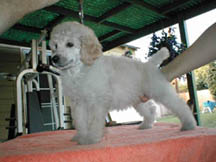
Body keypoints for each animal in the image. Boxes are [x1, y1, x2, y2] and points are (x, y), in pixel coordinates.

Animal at [49, 21, 197, 144]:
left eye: (70, 44)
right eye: (55, 46)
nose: (54, 58)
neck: (79, 70)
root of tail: (149, 64)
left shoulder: (96, 102)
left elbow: (93, 122)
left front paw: (91, 138)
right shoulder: (78, 103)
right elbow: (80, 122)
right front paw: (80, 137)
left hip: (160, 91)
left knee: (179, 105)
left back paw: (189, 124)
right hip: (138, 99)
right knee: (150, 110)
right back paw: (146, 125)